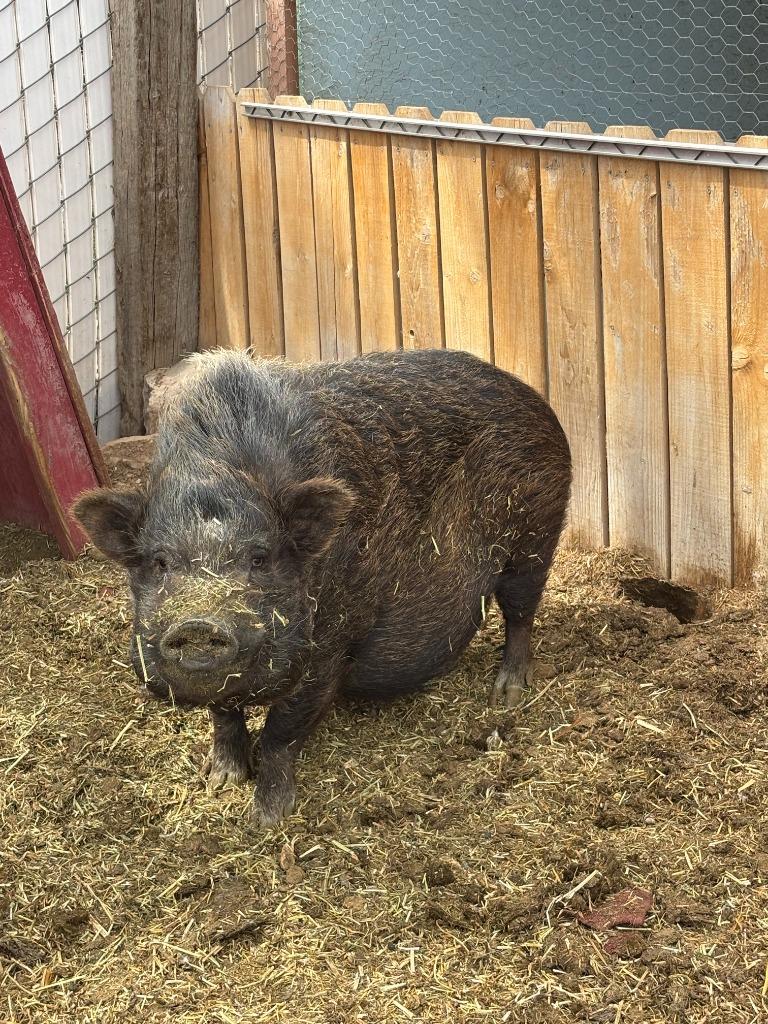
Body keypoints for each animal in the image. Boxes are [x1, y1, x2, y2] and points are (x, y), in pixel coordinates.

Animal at [74, 348, 571, 824]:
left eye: (260, 557)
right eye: (159, 562)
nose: (198, 623)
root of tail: (530, 396)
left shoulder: (332, 643)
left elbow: (280, 731)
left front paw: (267, 819)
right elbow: (224, 715)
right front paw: (219, 782)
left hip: (535, 535)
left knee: (521, 614)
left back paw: (506, 694)